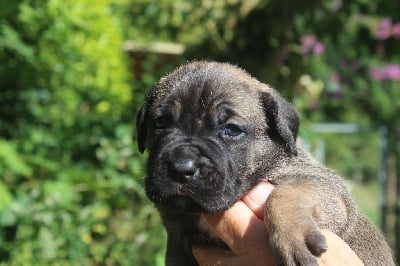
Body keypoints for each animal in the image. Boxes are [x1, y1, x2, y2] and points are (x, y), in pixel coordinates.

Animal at [135, 60, 394, 266]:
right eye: (160, 124)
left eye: (231, 130)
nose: (182, 168)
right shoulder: (179, 243)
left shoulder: (326, 189)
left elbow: (286, 193)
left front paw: (293, 236)